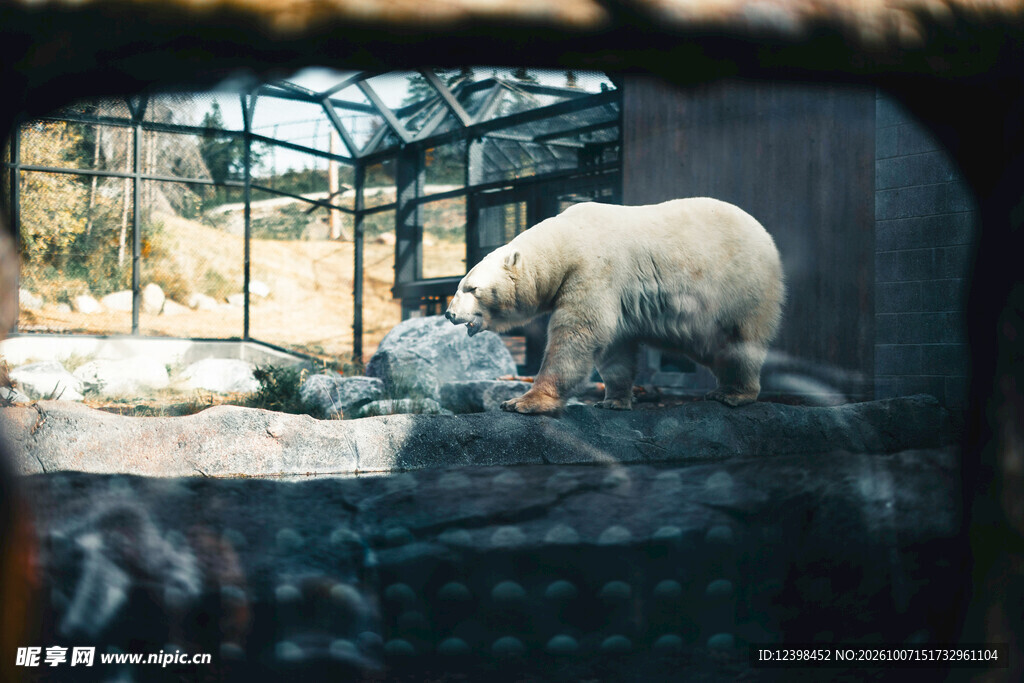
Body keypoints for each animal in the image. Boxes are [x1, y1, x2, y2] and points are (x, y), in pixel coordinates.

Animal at [445, 197, 785, 415]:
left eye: (472, 288)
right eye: (459, 286)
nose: (449, 313)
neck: (565, 242)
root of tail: (766, 236)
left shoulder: (594, 270)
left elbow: (578, 332)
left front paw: (522, 402)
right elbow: (615, 346)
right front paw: (614, 400)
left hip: (740, 286)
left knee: (740, 340)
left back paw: (733, 394)